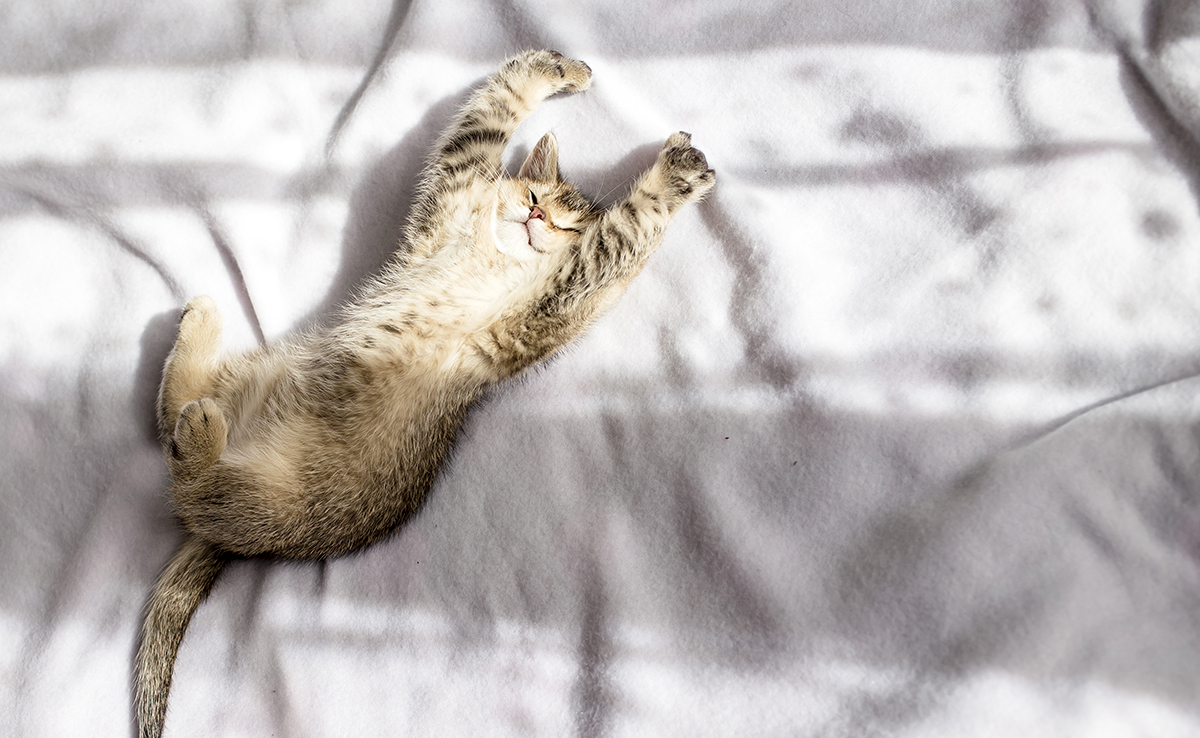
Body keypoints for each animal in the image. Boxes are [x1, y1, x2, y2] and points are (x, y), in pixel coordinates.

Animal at [133, 51, 710, 738]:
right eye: (535, 196)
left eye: (569, 224)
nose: (537, 218)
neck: (495, 253)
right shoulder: (452, 192)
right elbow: (493, 108)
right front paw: (562, 69)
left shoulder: (560, 296)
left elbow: (625, 229)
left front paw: (676, 172)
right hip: (259, 382)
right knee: (169, 421)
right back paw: (200, 331)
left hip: (275, 498)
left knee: (191, 479)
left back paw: (200, 427)